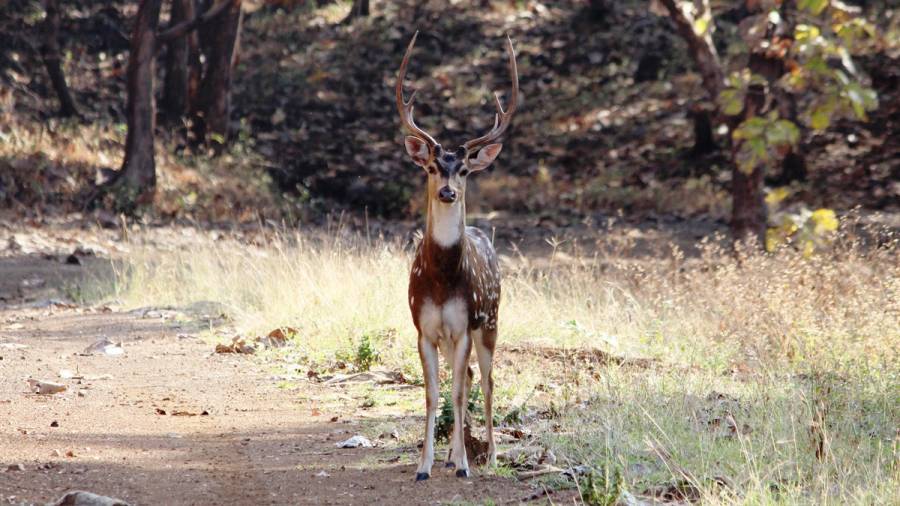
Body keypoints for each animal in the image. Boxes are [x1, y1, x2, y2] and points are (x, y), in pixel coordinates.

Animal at [396, 31, 516, 482]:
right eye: (431, 167)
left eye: (463, 170)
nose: (448, 191)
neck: (443, 280)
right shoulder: (424, 326)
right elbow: (433, 392)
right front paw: (425, 465)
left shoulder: (464, 324)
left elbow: (463, 392)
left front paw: (465, 464)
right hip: (454, 334)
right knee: (461, 375)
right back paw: (451, 454)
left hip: (491, 321)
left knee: (486, 380)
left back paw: (491, 455)